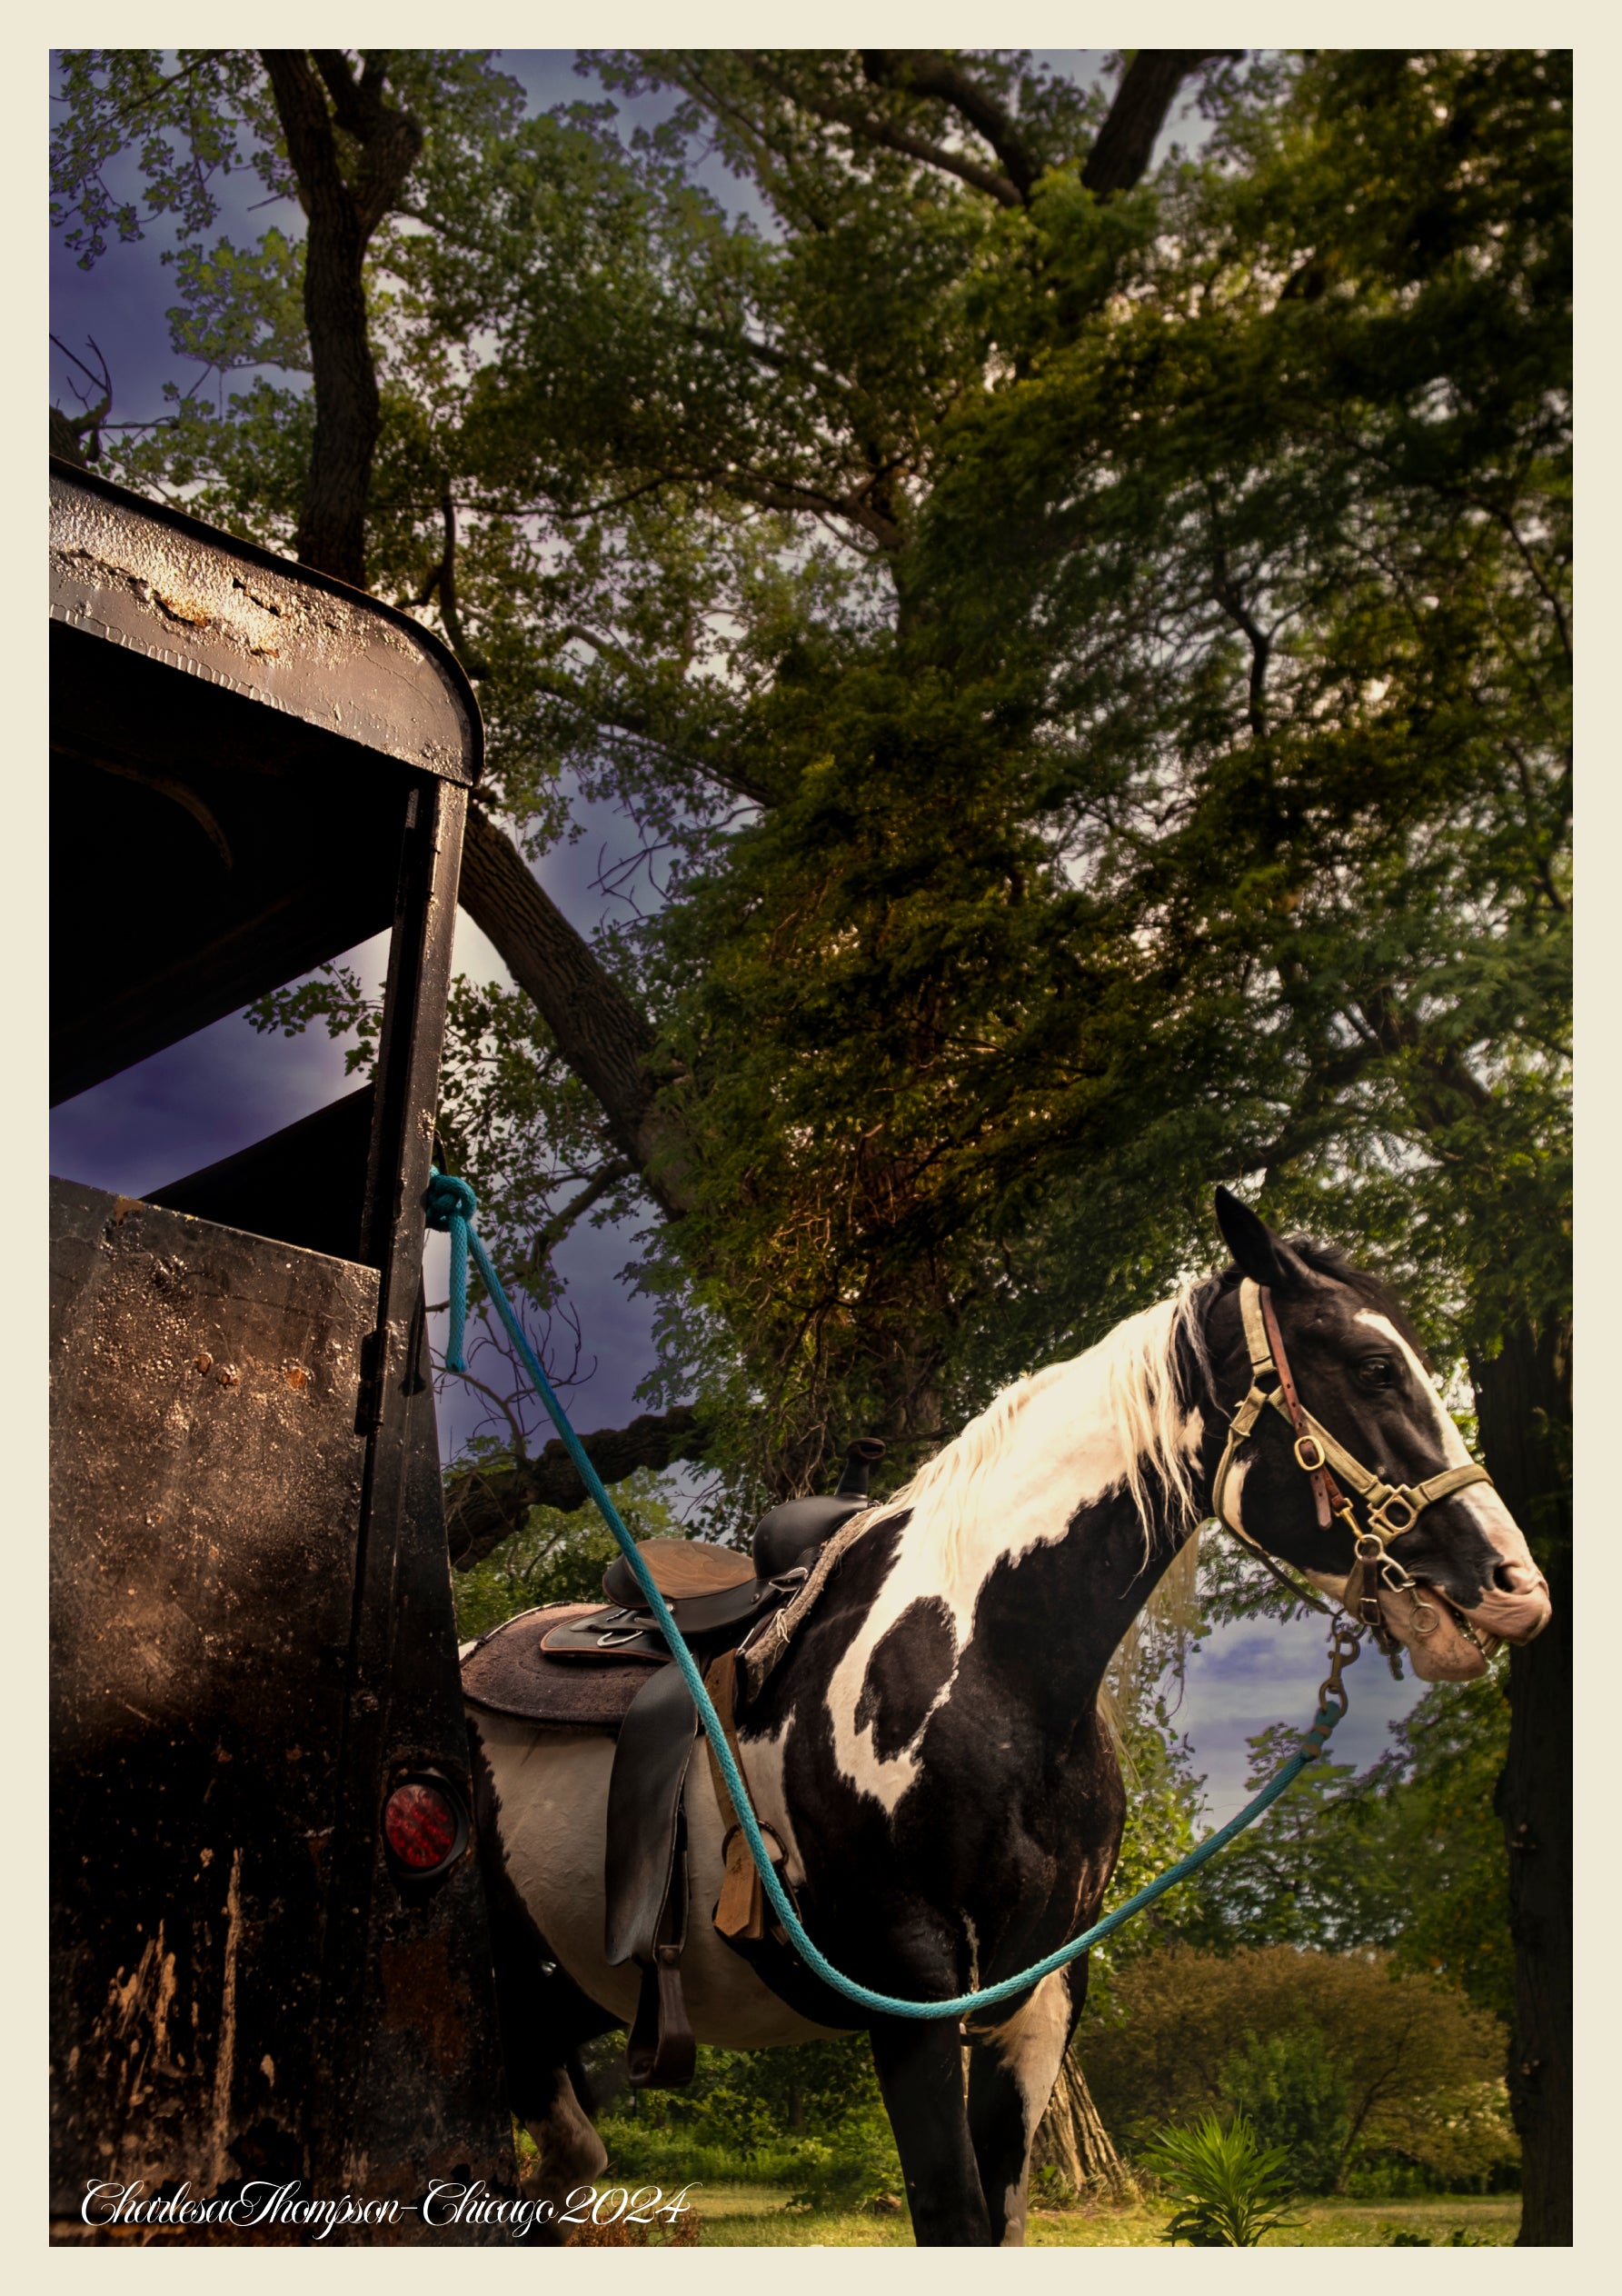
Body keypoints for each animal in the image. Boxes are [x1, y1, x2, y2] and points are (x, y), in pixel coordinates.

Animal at [465, 1188, 1551, 2246]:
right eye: (1373, 1367)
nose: (1516, 1588)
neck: (988, 1677)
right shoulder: (914, 1987)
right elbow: (950, 2213)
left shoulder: (1039, 1993)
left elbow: (1004, 2217)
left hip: (566, 1999)